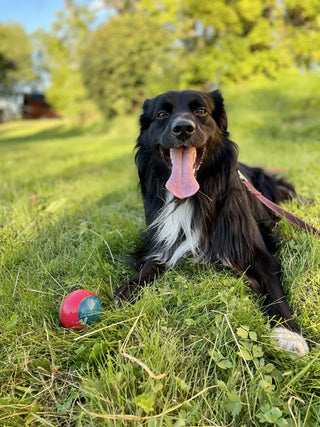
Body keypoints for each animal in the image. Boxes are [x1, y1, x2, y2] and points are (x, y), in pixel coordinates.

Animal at [116, 90, 308, 358]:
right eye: (162, 114)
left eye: (201, 111)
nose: (182, 129)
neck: (193, 194)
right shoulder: (161, 239)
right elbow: (150, 263)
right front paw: (130, 288)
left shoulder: (255, 250)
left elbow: (273, 287)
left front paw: (289, 333)